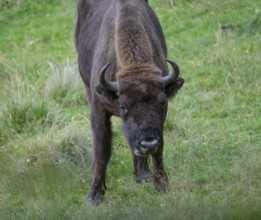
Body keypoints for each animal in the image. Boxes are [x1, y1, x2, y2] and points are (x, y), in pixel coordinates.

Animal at [73, 0, 183, 205]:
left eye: (162, 103)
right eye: (123, 106)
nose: (148, 143)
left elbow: (159, 149)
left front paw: (161, 185)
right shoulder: (98, 110)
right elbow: (102, 150)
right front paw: (94, 196)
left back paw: (143, 174)